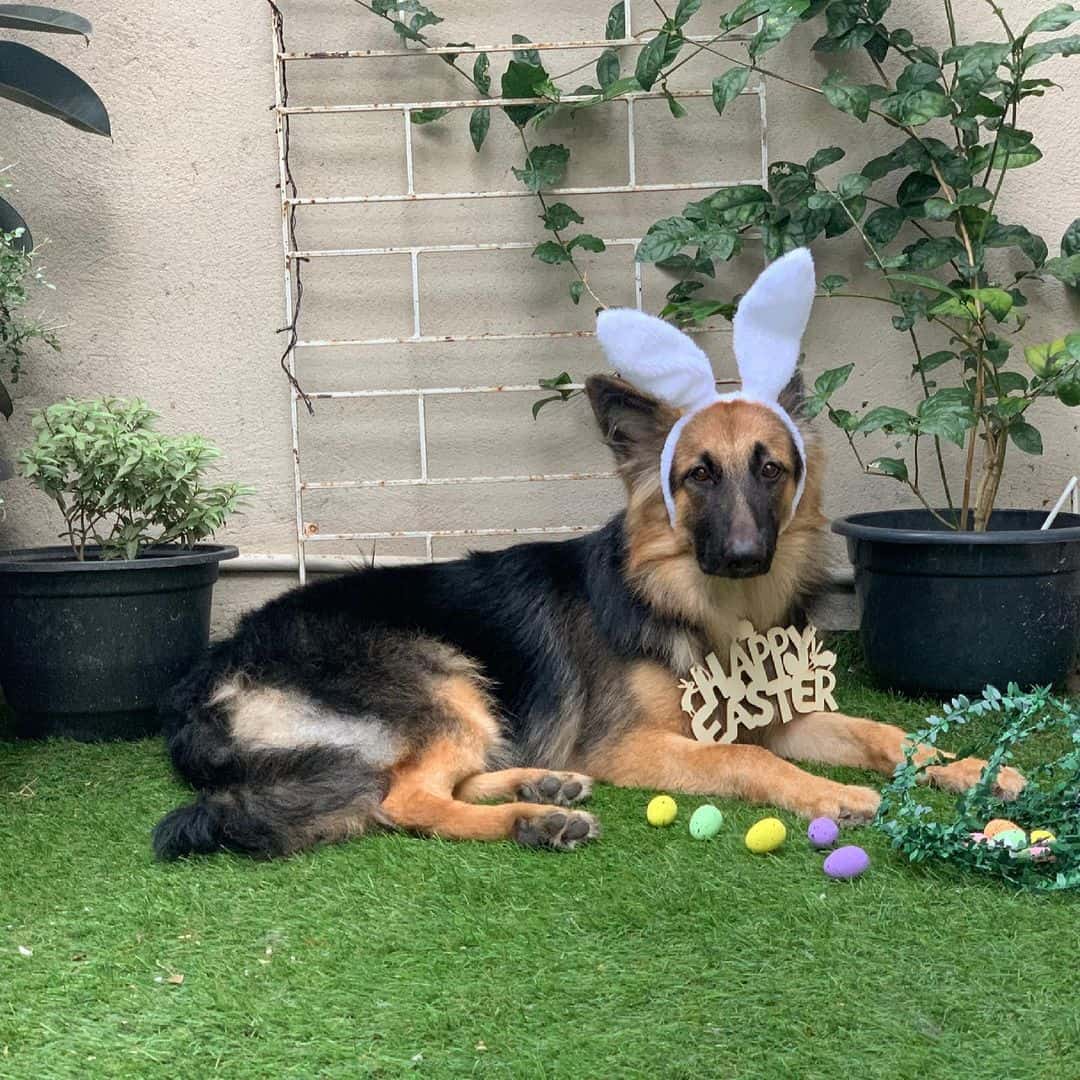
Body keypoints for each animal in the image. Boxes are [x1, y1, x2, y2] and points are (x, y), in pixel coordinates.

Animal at [152, 375, 1019, 855]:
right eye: (699, 475)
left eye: (769, 469)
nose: (744, 553)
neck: (709, 610)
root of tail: (211, 677)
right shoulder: (631, 745)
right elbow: (747, 760)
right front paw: (828, 794)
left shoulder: (781, 718)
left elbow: (885, 733)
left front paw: (976, 766)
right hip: (443, 679)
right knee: (405, 799)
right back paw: (534, 823)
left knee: (442, 779)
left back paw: (545, 786)